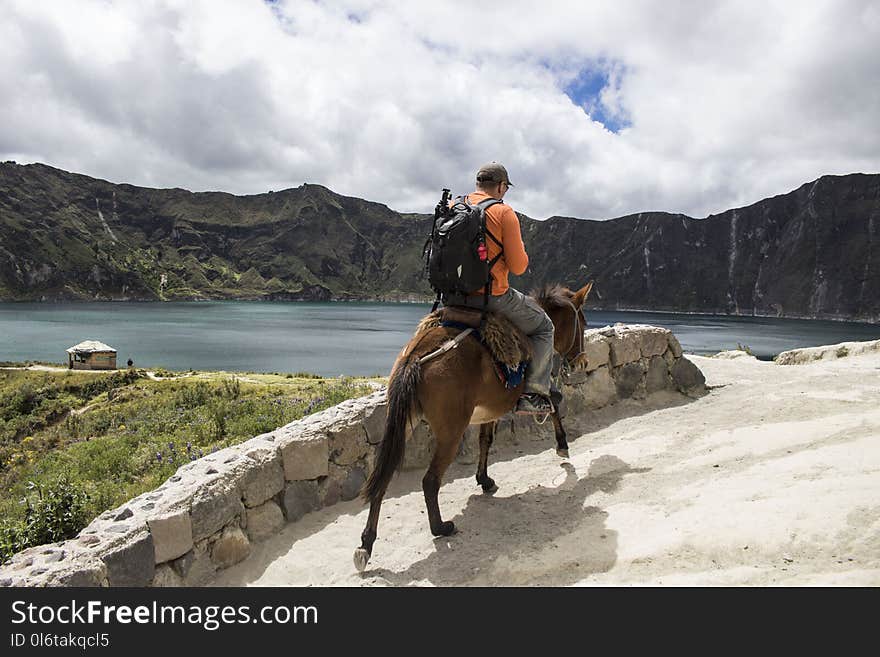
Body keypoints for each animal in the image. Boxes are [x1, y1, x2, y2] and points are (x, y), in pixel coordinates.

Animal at [354, 280, 596, 572]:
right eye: (583, 322)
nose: (582, 361)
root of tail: (416, 357)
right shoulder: (533, 391)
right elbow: (554, 406)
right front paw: (562, 445)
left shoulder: (490, 409)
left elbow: (485, 440)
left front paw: (484, 480)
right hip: (451, 433)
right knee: (430, 481)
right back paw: (440, 527)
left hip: (404, 424)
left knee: (383, 477)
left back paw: (366, 543)